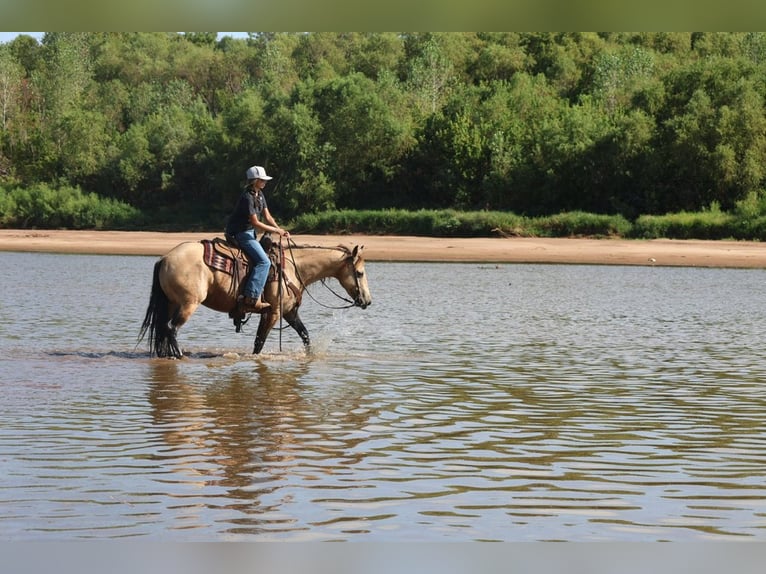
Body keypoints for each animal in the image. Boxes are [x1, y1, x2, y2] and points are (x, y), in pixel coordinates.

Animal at [138, 239, 372, 358]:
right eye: (360, 273)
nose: (367, 301)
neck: (293, 268)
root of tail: (164, 258)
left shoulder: (289, 312)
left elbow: (305, 335)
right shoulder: (273, 312)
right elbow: (259, 342)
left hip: (171, 303)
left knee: (163, 329)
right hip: (188, 304)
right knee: (171, 328)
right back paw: (179, 356)